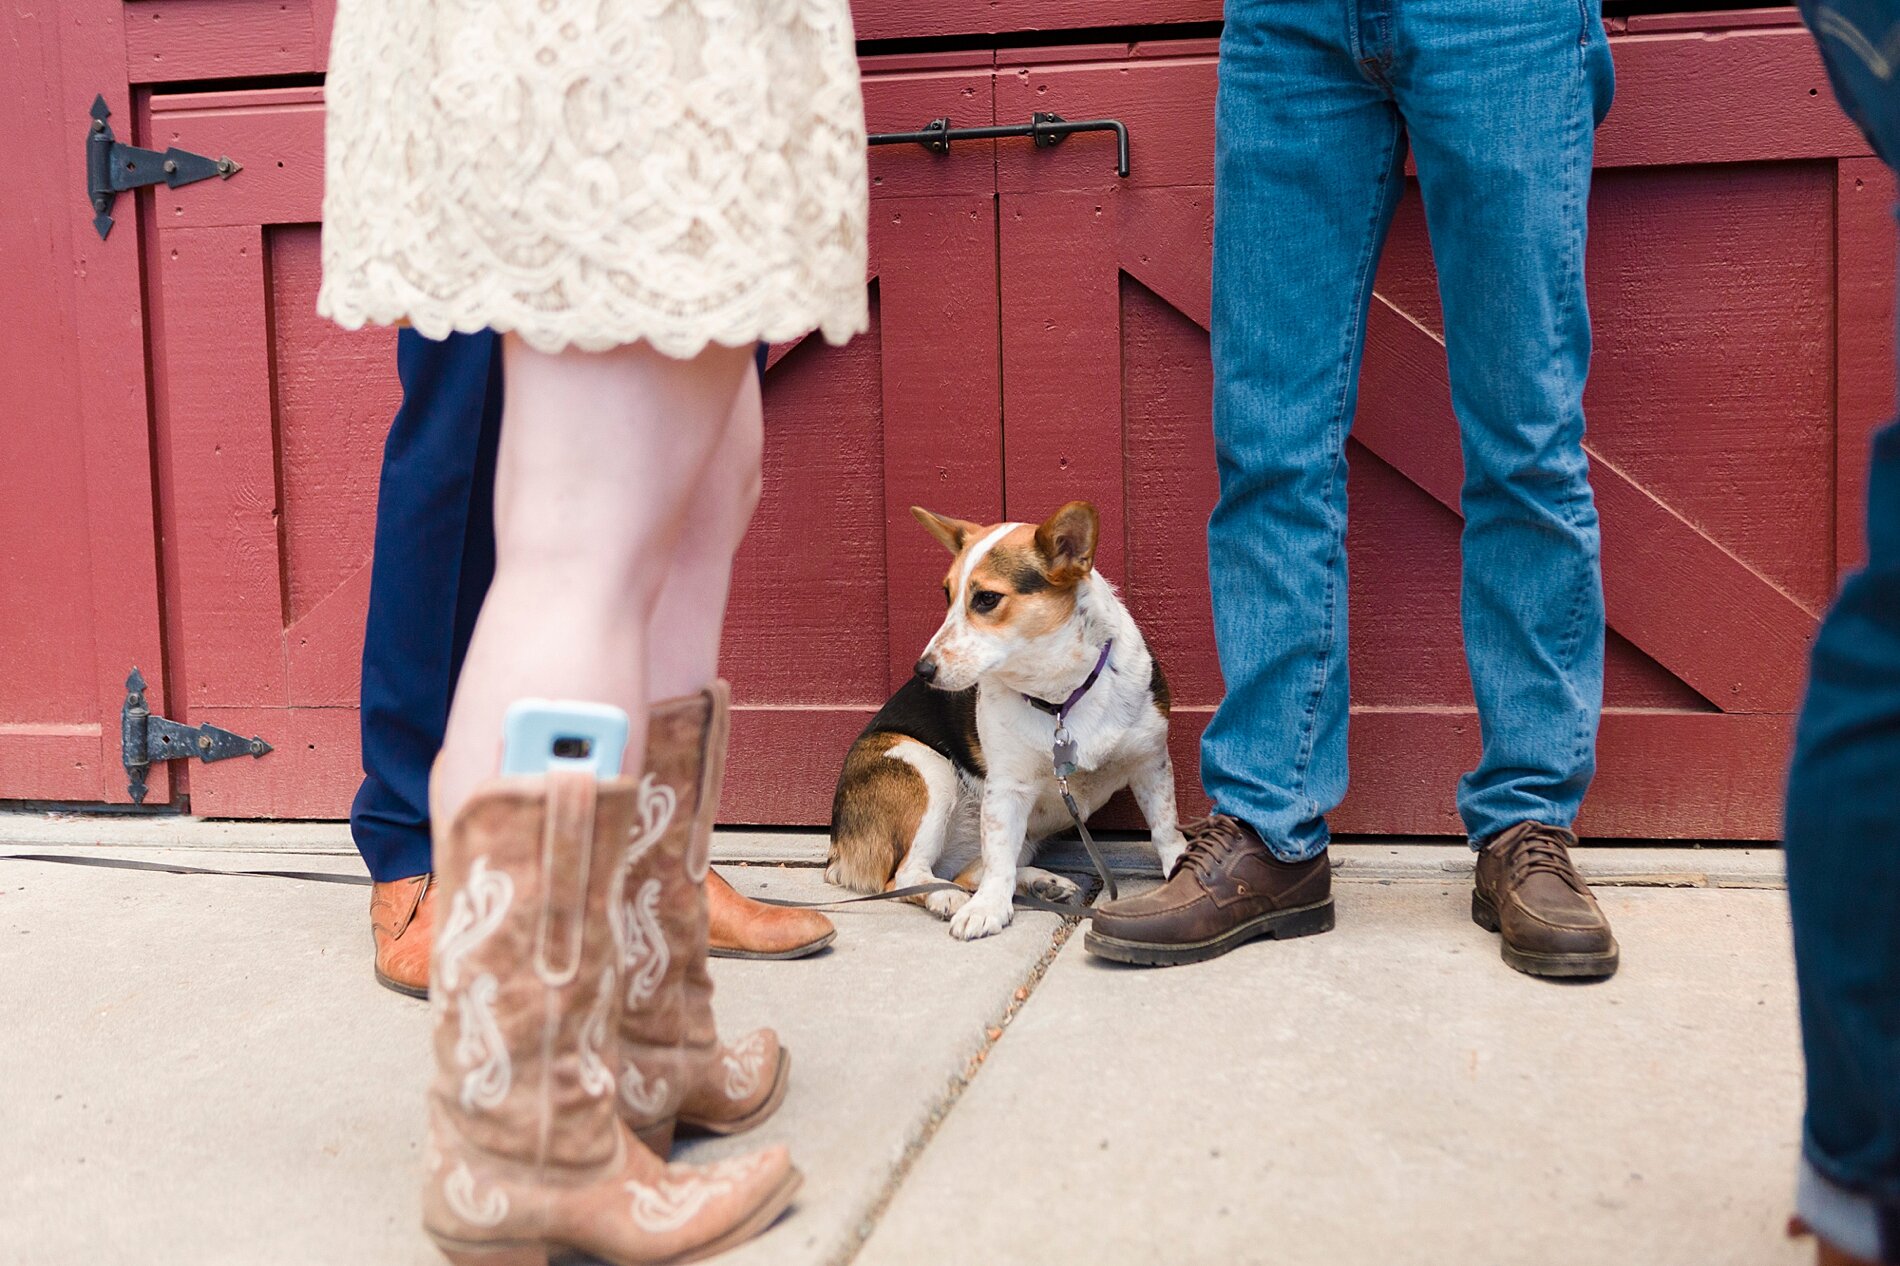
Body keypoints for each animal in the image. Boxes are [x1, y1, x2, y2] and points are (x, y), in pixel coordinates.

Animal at [824, 501, 1178, 935]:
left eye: (987, 599)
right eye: (947, 595)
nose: (922, 671)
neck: (1059, 697)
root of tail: (838, 851)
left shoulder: (1151, 763)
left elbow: (1166, 830)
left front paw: (1183, 873)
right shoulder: (1007, 788)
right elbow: (997, 862)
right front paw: (988, 909)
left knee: (973, 872)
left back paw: (1041, 883)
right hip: (927, 768)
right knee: (909, 876)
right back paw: (946, 895)